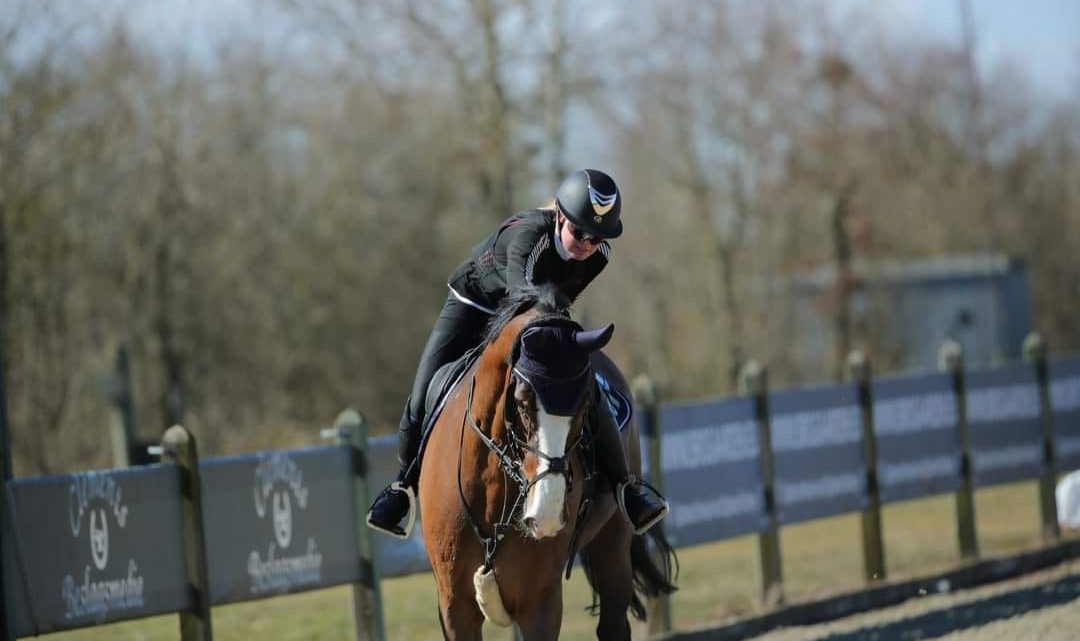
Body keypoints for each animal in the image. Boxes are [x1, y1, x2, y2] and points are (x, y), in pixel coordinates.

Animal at [419, 284, 678, 638]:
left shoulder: (539, 603)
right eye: (521, 403)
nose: (547, 516)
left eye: (587, 405)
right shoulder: (454, 607)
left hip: (613, 544)